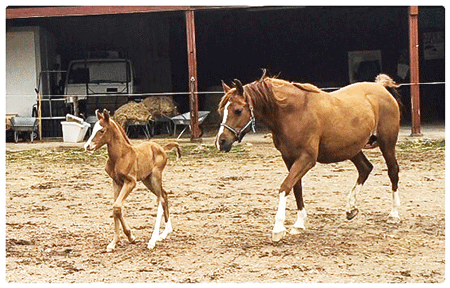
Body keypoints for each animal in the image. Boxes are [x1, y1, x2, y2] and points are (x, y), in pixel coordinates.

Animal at [84, 109, 179, 251]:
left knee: (161, 199)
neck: (121, 156)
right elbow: (116, 208)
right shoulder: (116, 182)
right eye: (93, 129)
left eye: (102, 130)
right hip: (147, 180)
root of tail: (162, 148)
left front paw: (129, 236)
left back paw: (153, 240)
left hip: (155, 177)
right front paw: (115, 242)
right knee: (165, 195)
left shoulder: (131, 182)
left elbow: (117, 206)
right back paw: (165, 233)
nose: (87, 146)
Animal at [216, 71, 402, 241]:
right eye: (221, 111)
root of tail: (381, 88)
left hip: (387, 144)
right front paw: (298, 224)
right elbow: (296, 188)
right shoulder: (289, 159)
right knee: (365, 168)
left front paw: (278, 228)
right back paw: (351, 209)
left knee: (392, 171)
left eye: (238, 111)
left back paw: (394, 214)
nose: (221, 141)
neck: (292, 113)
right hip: (352, 149)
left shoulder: (307, 159)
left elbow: (285, 186)